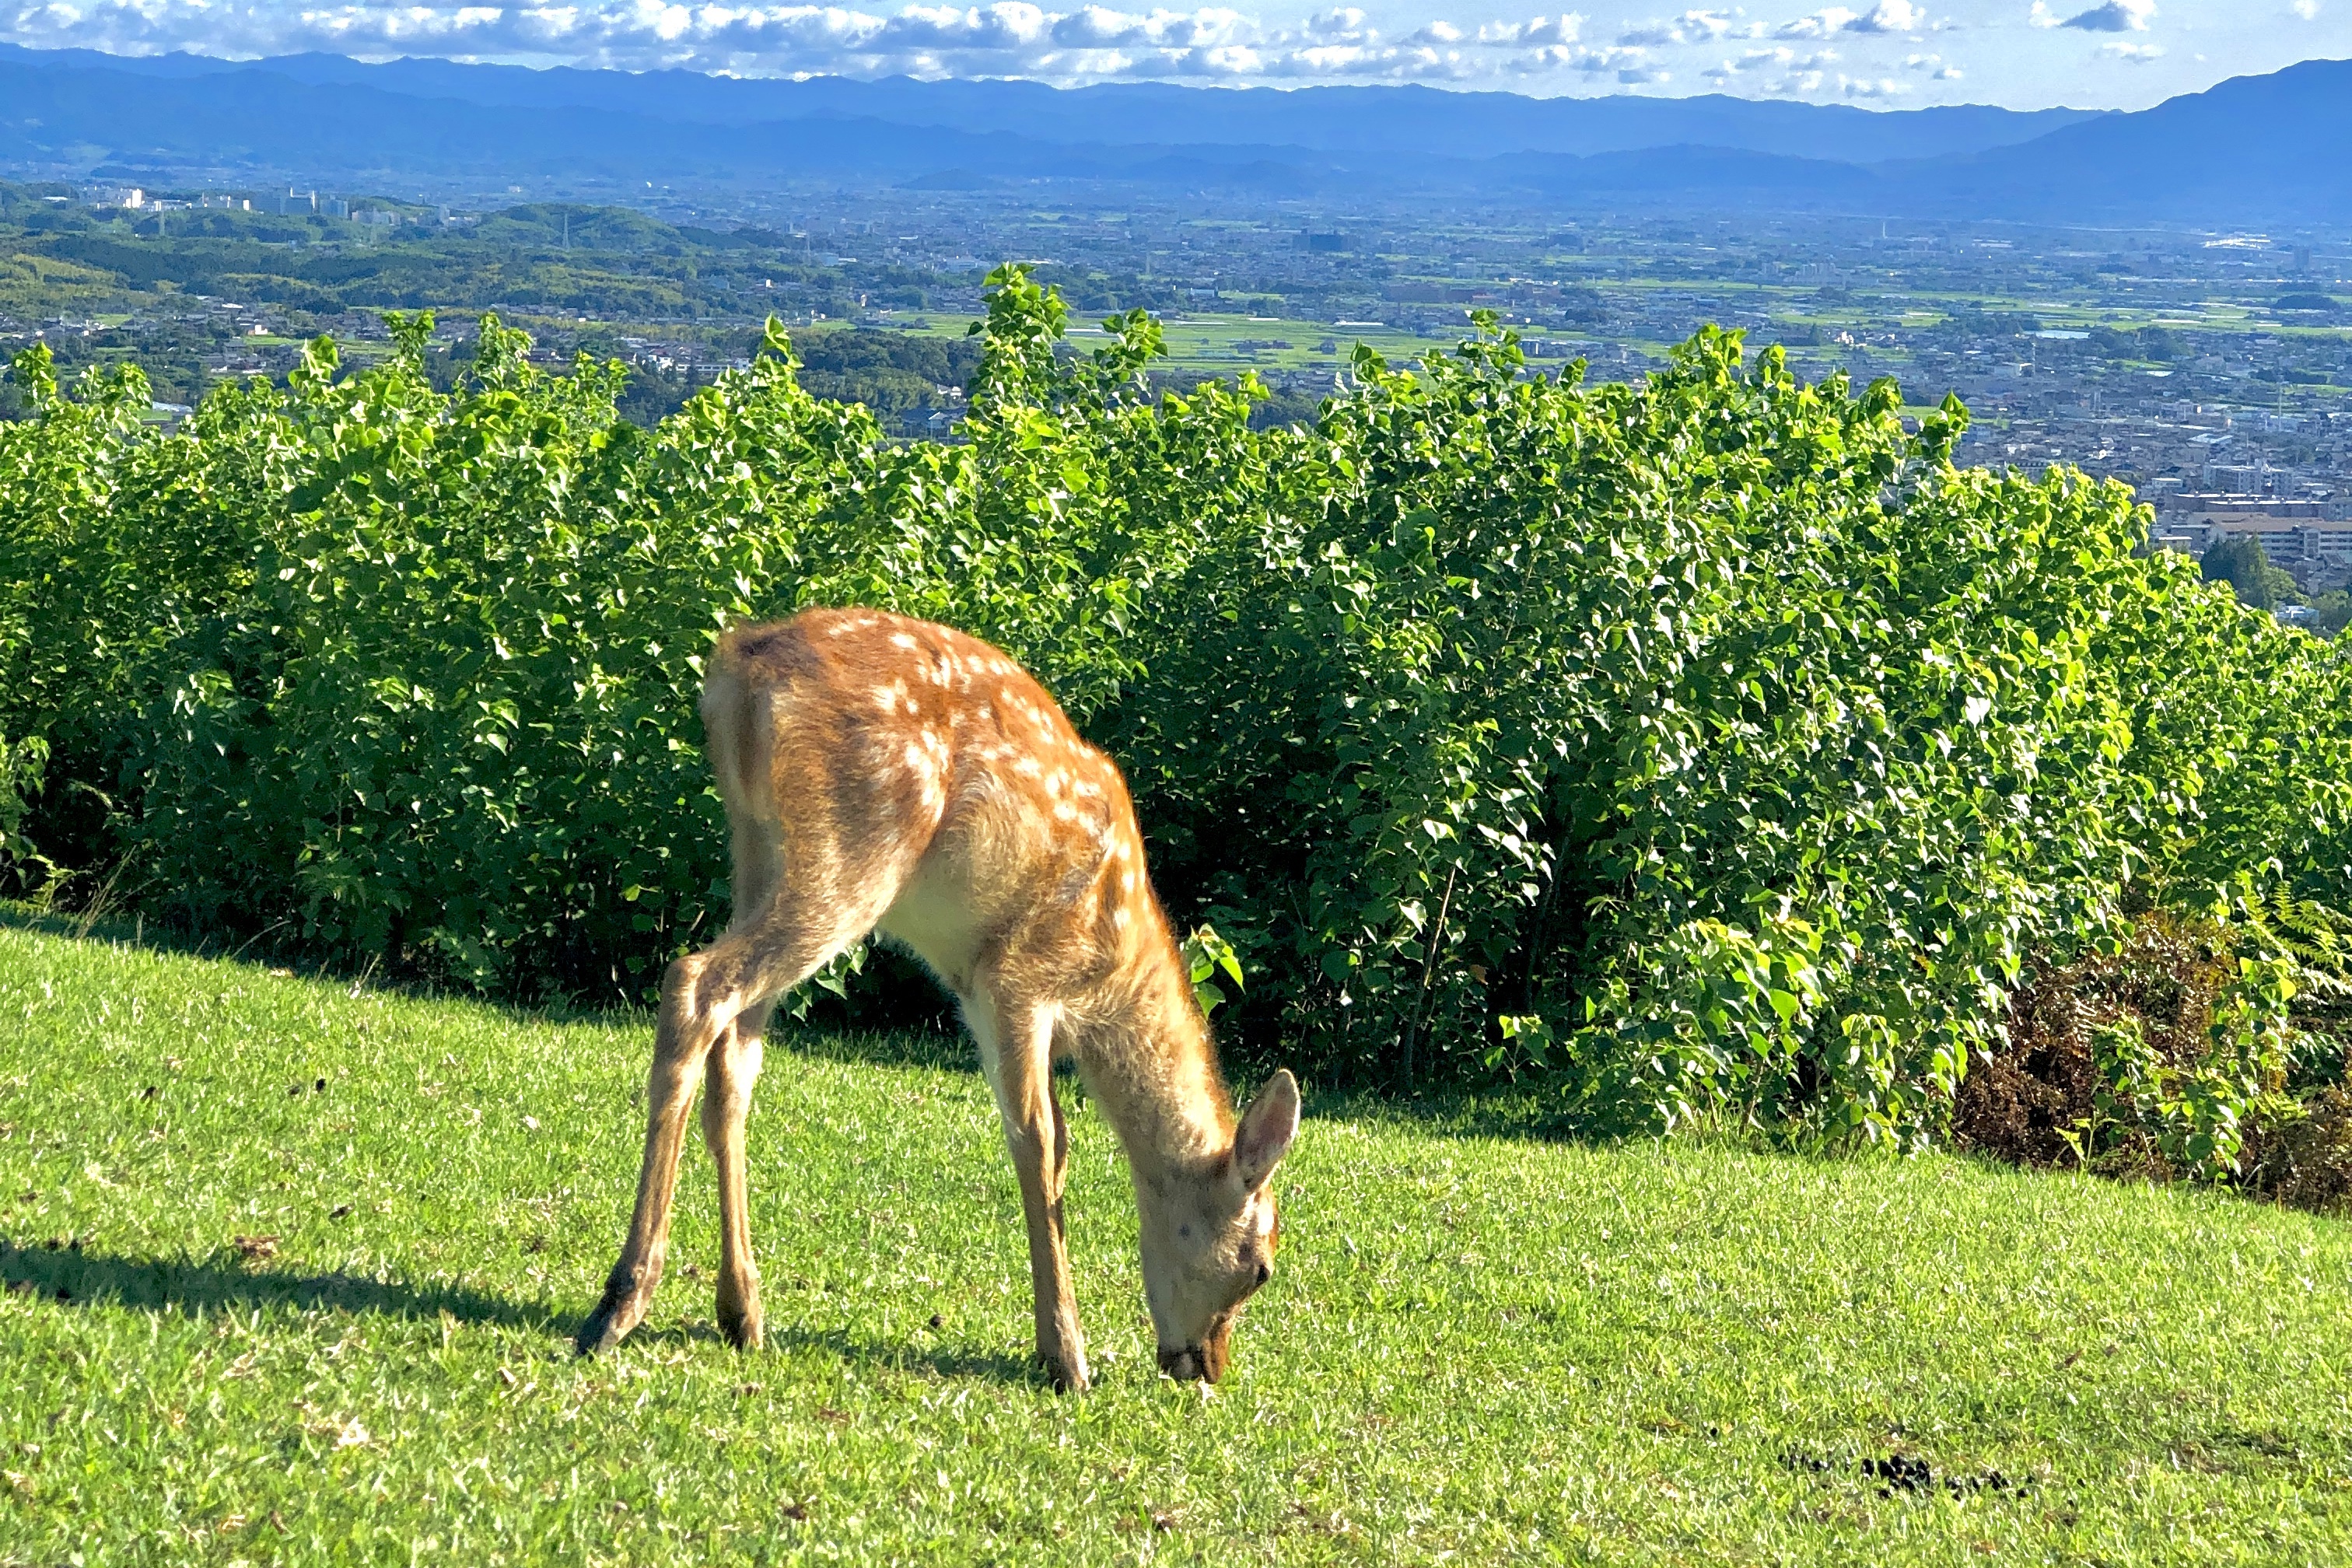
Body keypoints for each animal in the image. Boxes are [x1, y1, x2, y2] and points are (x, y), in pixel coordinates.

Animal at [573, 606, 1307, 1391]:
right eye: (1260, 1269)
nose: (1207, 1367)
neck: (1111, 971)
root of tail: (738, 668)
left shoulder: (977, 988)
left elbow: (1052, 1143)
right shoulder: (1018, 976)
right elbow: (1042, 1143)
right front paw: (1066, 1355)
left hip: (759, 848)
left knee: (736, 1053)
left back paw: (741, 1313)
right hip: (857, 846)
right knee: (694, 983)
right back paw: (620, 1304)